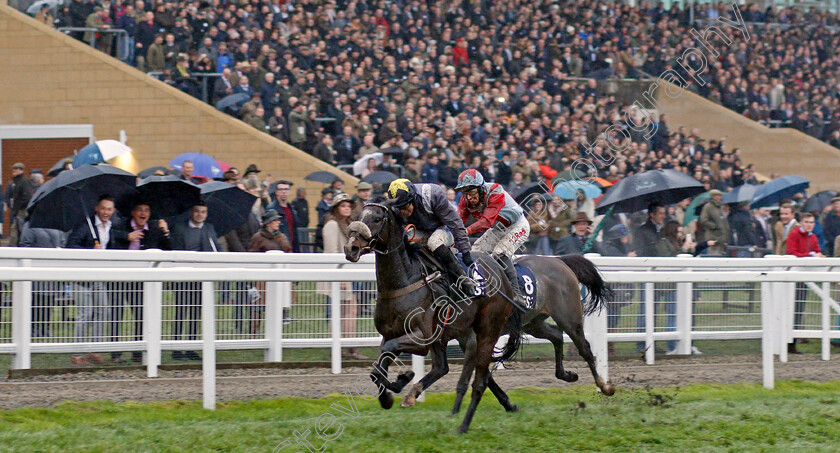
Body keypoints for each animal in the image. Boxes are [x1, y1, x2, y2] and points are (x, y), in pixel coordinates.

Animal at [344, 200, 520, 432]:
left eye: (376, 218)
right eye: (357, 215)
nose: (351, 248)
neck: (403, 282)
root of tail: (501, 273)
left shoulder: (423, 338)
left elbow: (387, 355)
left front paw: (402, 379)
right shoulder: (390, 334)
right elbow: (377, 369)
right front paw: (391, 393)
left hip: (486, 328)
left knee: (471, 371)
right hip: (454, 333)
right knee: (445, 367)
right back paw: (506, 404)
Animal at [452, 252, 616, 414]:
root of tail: (559, 261)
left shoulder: (475, 337)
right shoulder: (465, 339)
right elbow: (485, 373)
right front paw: (508, 404)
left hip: (569, 319)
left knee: (585, 349)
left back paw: (604, 387)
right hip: (534, 323)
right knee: (557, 336)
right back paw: (566, 375)